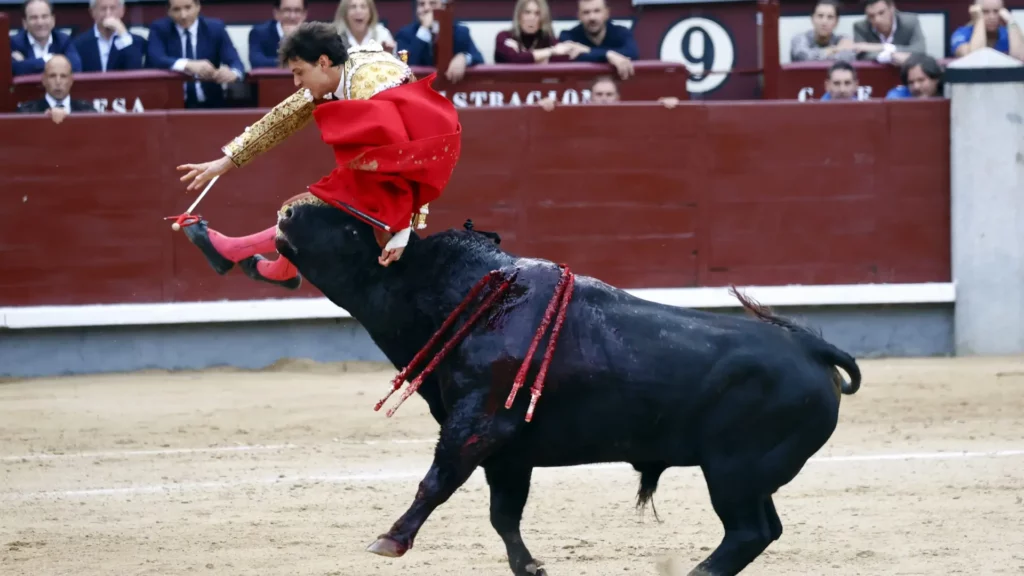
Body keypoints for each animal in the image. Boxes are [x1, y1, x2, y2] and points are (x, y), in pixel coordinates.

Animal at [274, 194, 864, 569]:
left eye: (350, 229)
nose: (286, 212)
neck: (466, 298)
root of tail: (813, 349)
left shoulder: (478, 423)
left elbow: (437, 482)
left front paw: (390, 540)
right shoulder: (508, 452)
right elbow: (503, 514)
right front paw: (530, 567)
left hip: (732, 472)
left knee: (747, 532)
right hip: (746, 475)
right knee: (763, 530)